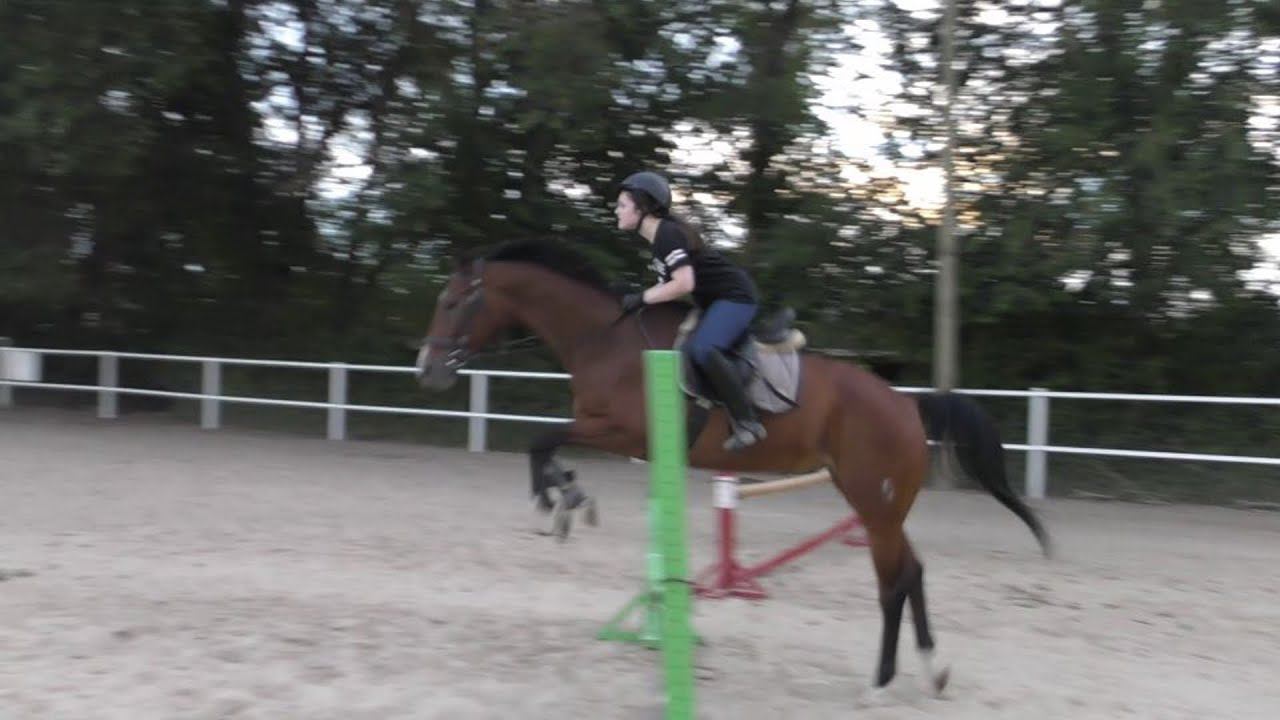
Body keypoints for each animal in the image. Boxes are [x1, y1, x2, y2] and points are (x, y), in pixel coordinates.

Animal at [414, 239, 1051, 695]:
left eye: (453, 302)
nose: (427, 368)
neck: (605, 339)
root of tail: (907, 403)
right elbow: (544, 443)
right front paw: (567, 494)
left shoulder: (620, 430)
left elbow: (538, 439)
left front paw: (561, 500)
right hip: (877, 503)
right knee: (912, 573)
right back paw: (931, 669)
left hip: (873, 502)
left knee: (894, 581)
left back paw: (881, 680)